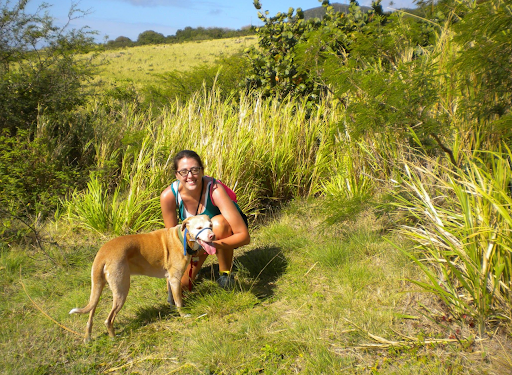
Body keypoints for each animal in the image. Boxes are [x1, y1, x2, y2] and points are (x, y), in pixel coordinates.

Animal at [69, 216, 214, 342]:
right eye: (199, 227)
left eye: (211, 225)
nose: (212, 236)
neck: (182, 237)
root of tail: (103, 252)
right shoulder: (175, 279)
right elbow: (179, 302)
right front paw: (183, 315)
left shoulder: (169, 279)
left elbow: (171, 298)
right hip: (121, 291)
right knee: (108, 319)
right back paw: (114, 338)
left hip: (97, 288)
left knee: (90, 315)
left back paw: (88, 338)